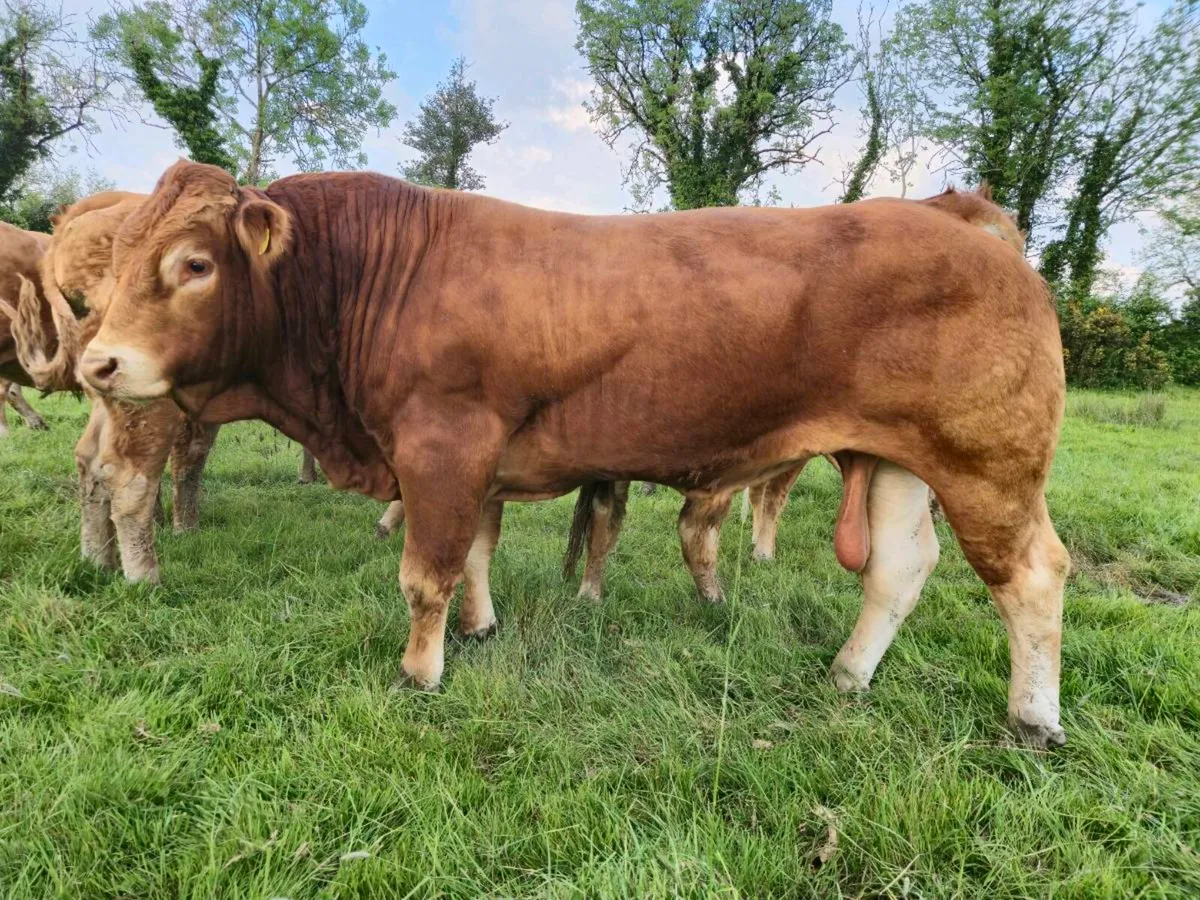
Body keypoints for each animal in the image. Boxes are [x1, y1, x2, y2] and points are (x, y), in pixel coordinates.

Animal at [80, 161, 1071, 748]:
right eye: (117, 258)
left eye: (194, 264)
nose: (100, 363)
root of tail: (962, 220)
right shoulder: (473, 460)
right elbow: (477, 551)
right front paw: (480, 629)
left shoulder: (440, 446)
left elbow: (426, 573)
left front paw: (419, 672)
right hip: (904, 460)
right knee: (901, 568)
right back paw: (848, 674)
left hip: (989, 465)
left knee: (1033, 575)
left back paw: (1034, 716)